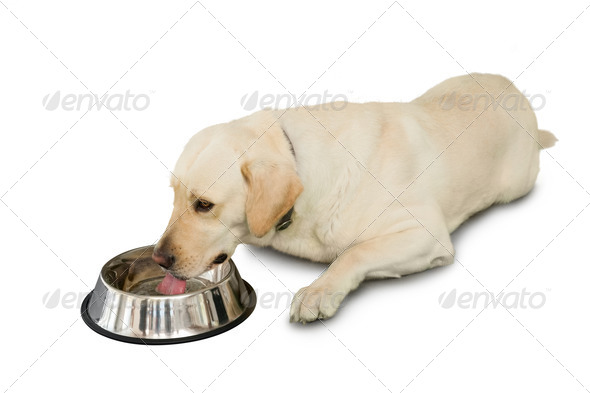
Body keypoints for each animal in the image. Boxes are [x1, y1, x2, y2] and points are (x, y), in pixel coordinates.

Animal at [150, 72, 556, 322]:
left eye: (204, 205)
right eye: (173, 197)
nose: (158, 258)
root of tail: (515, 91)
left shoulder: (424, 234)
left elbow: (354, 253)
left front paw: (318, 291)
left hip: (516, 182)